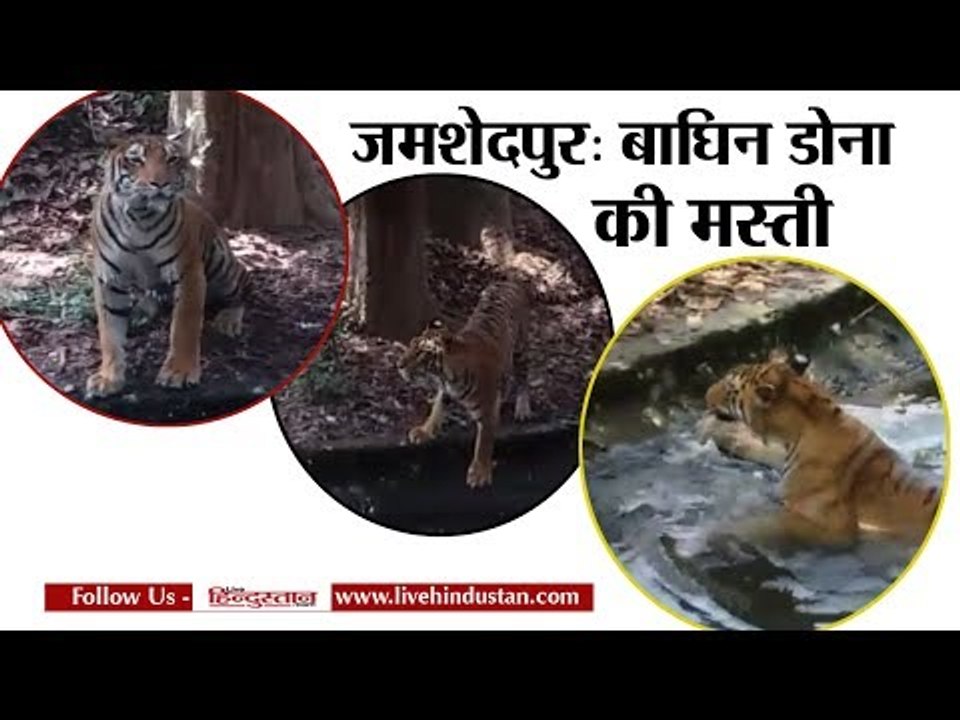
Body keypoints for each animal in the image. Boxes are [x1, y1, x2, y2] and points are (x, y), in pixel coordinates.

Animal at [85, 134, 251, 398]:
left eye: (172, 159)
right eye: (136, 159)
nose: (160, 184)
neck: (139, 217)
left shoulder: (189, 272)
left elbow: (184, 325)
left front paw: (179, 372)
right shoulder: (108, 278)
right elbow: (109, 332)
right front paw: (108, 377)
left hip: (221, 264)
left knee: (243, 285)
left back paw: (228, 320)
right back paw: (141, 313)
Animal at [397, 277, 532, 489]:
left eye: (421, 353)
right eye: (411, 344)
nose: (399, 365)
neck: (447, 375)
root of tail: (507, 280)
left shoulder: (486, 409)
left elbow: (483, 443)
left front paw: (479, 473)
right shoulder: (445, 390)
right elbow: (436, 409)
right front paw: (424, 431)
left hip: (521, 347)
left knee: (523, 378)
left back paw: (523, 409)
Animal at [699, 349, 942, 546]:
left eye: (729, 389)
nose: (705, 395)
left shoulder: (825, 525)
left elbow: (761, 526)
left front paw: (713, 534)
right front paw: (720, 431)